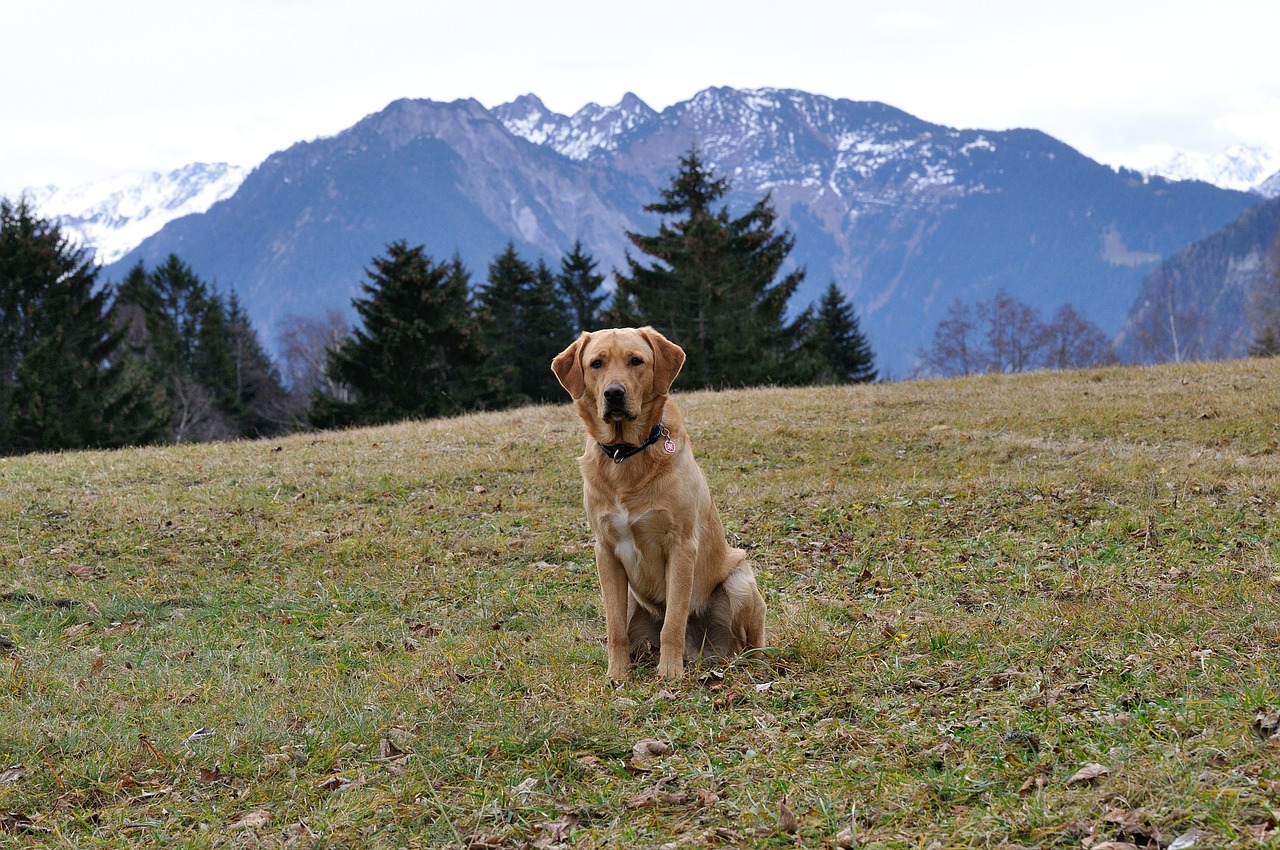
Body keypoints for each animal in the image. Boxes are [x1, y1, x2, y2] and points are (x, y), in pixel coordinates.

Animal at [547, 323, 762, 675]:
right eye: (596, 364)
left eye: (636, 361)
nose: (614, 393)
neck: (626, 455)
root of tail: (703, 651)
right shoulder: (605, 551)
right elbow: (614, 628)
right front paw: (616, 673)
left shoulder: (681, 546)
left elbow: (673, 621)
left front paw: (670, 673)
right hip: (634, 601)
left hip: (740, 581)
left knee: (749, 644)